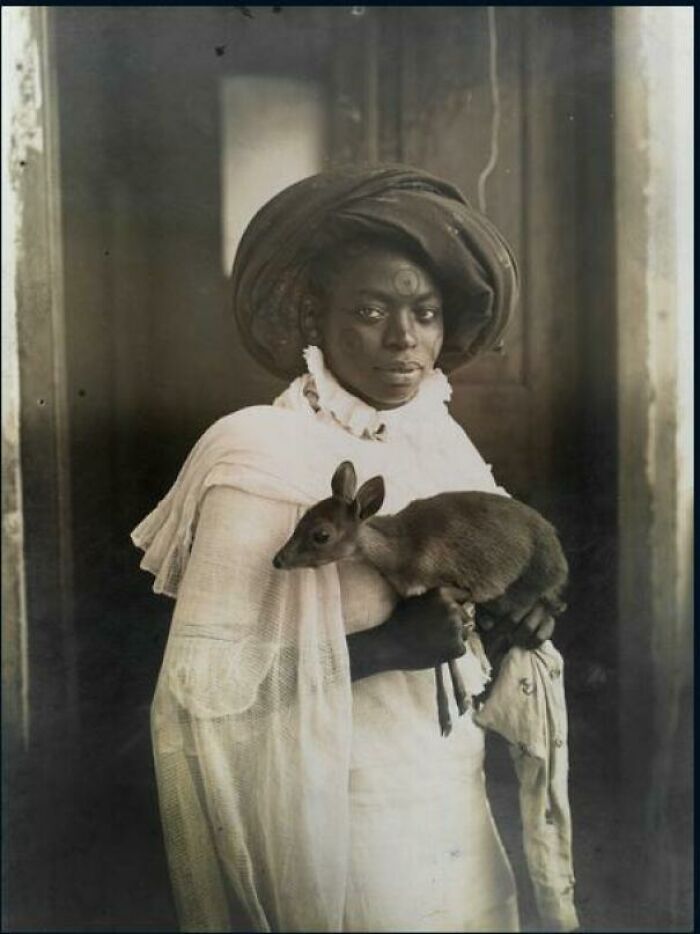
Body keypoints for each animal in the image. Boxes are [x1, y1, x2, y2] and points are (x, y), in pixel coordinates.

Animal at [274, 460, 568, 740]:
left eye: (321, 535)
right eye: (303, 519)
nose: (278, 559)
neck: (401, 554)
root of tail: (560, 557)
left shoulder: (450, 586)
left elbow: (449, 655)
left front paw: (458, 703)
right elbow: (441, 657)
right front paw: (450, 710)